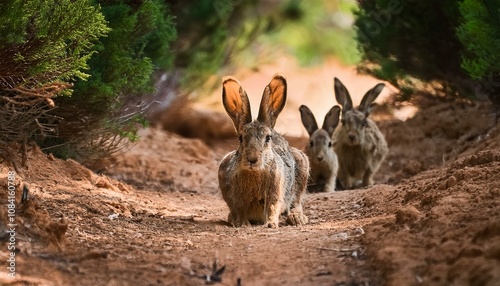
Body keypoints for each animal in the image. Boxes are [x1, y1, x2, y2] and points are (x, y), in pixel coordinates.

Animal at [218, 74, 308, 228]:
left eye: (268, 138)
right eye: (240, 138)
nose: (252, 159)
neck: (255, 172)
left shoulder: (275, 192)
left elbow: (273, 206)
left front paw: (271, 224)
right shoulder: (235, 197)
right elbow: (238, 208)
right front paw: (242, 223)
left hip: (302, 165)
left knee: (296, 202)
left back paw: (297, 218)